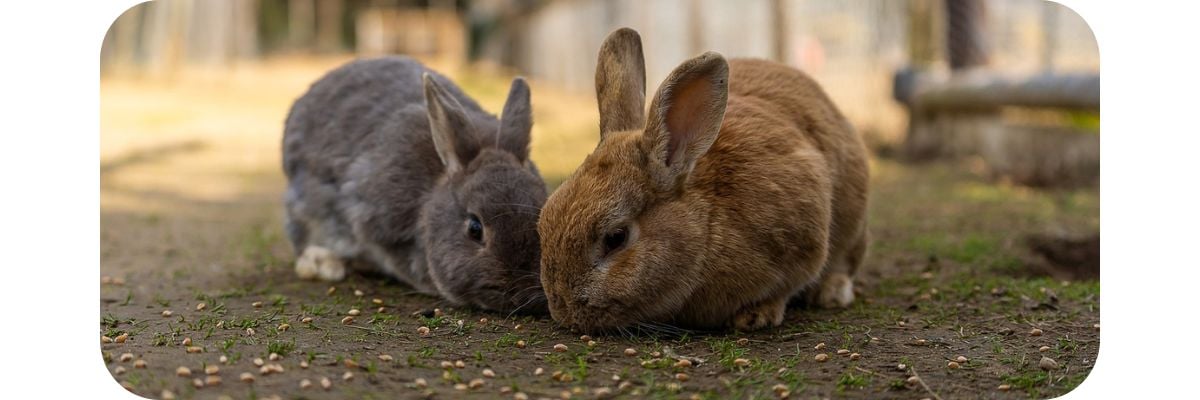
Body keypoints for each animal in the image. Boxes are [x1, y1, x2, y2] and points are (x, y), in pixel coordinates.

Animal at [540, 28, 868, 329]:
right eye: (543, 223)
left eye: (616, 238)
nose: (563, 310)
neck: (708, 221)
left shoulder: (806, 234)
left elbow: (792, 281)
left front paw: (757, 315)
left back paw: (832, 293)